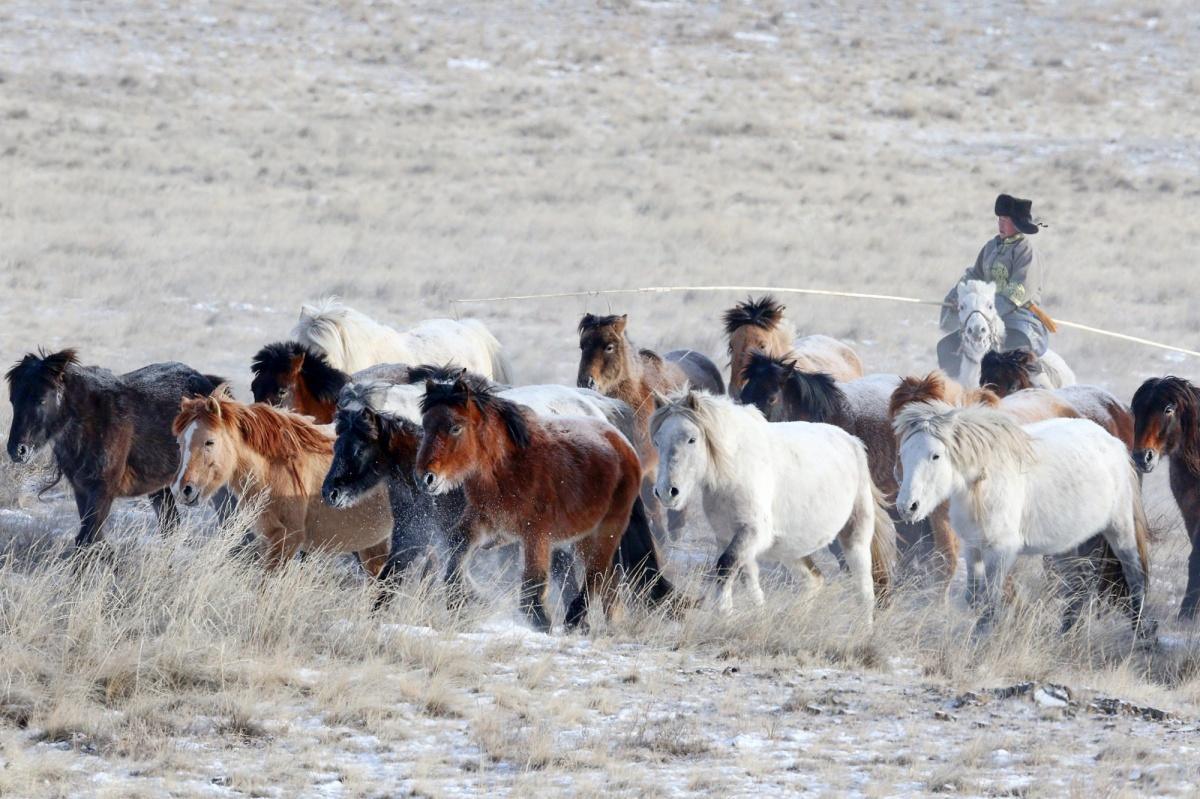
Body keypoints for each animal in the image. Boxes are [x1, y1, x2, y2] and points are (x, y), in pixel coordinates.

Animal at [5, 349, 225, 548]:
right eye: (13, 400)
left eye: (42, 399)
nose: (17, 450)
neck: (93, 420)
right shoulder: (82, 489)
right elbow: (91, 538)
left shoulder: (103, 489)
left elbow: (88, 538)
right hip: (160, 488)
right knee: (171, 525)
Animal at [172, 391, 394, 574]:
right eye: (180, 443)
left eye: (209, 442)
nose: (182, 489)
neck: (275, 470)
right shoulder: (267, 538)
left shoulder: (287, 540)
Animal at [416, 375, 664, 632]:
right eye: (425, 425)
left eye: (455, 427)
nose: (426, 478)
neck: (509, 468)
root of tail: (621, 442)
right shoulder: (486, 520)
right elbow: (458, 544)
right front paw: (465, 597)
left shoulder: (536, 535)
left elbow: (533, 581)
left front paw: (540, 619)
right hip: (585, 537)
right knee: (605, 576)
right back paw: (607, 621)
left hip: (609, 528)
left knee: (596, 571)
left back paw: (575, 617)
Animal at [649, 390, 895, 622]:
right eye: (658, 441)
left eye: (692, 439)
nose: (667, 492)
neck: (735, 469)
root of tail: (853, 442)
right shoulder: (728, 536)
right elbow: (746, 578)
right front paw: (749, 615)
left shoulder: (752, 532)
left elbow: (726, 566)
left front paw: (724, 613)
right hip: (792, 548)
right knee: (814, 580)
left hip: (855, 536)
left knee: (864, 589)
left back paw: (863, 630)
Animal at [894, 401, 1151, 635]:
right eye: (903, 454)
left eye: (935, 455)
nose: (908, 507)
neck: (984, 484)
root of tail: (1114, 443)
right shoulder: (973, 546)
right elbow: (974, 598)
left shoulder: (1001, 551)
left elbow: (990, 603)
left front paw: (981, 641)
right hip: (1072, 542)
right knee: (1080, 582)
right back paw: (1067, 631)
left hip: (1120, 529)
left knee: (1134, 575)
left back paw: (1141, 633)